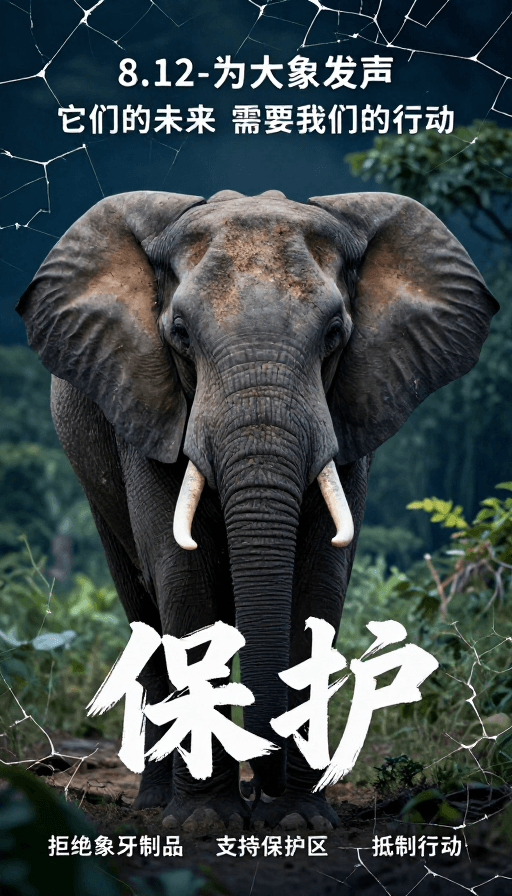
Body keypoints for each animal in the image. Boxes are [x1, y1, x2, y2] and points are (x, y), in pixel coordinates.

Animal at [17, 188, 497, 831]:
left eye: (334, 334)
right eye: (180, 334)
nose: (259, 793)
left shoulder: (350, 408)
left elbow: (318, 582)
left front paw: (297, 821)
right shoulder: (148, 402)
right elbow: (182, 577)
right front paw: (203, 824)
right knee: (142, 610)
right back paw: (155, 805)